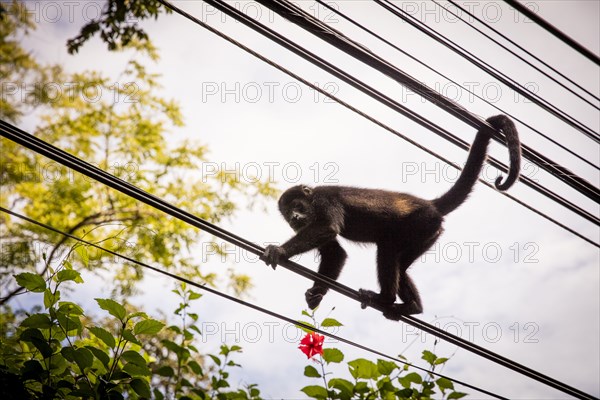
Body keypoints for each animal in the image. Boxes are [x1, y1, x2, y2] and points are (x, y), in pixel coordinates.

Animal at [262, 114, 520, 320]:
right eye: (287, 213)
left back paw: (384, 298)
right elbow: (335, 253)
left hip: (422, 222)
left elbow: (327, 228)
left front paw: (279, 251)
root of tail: (430, 205)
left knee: (387, 249)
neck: (313, 198)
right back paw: (412, 307)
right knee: (401, 266)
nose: (295, 217)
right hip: (429, 234)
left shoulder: (325, 200)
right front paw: (317, 293)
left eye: (298, 206)